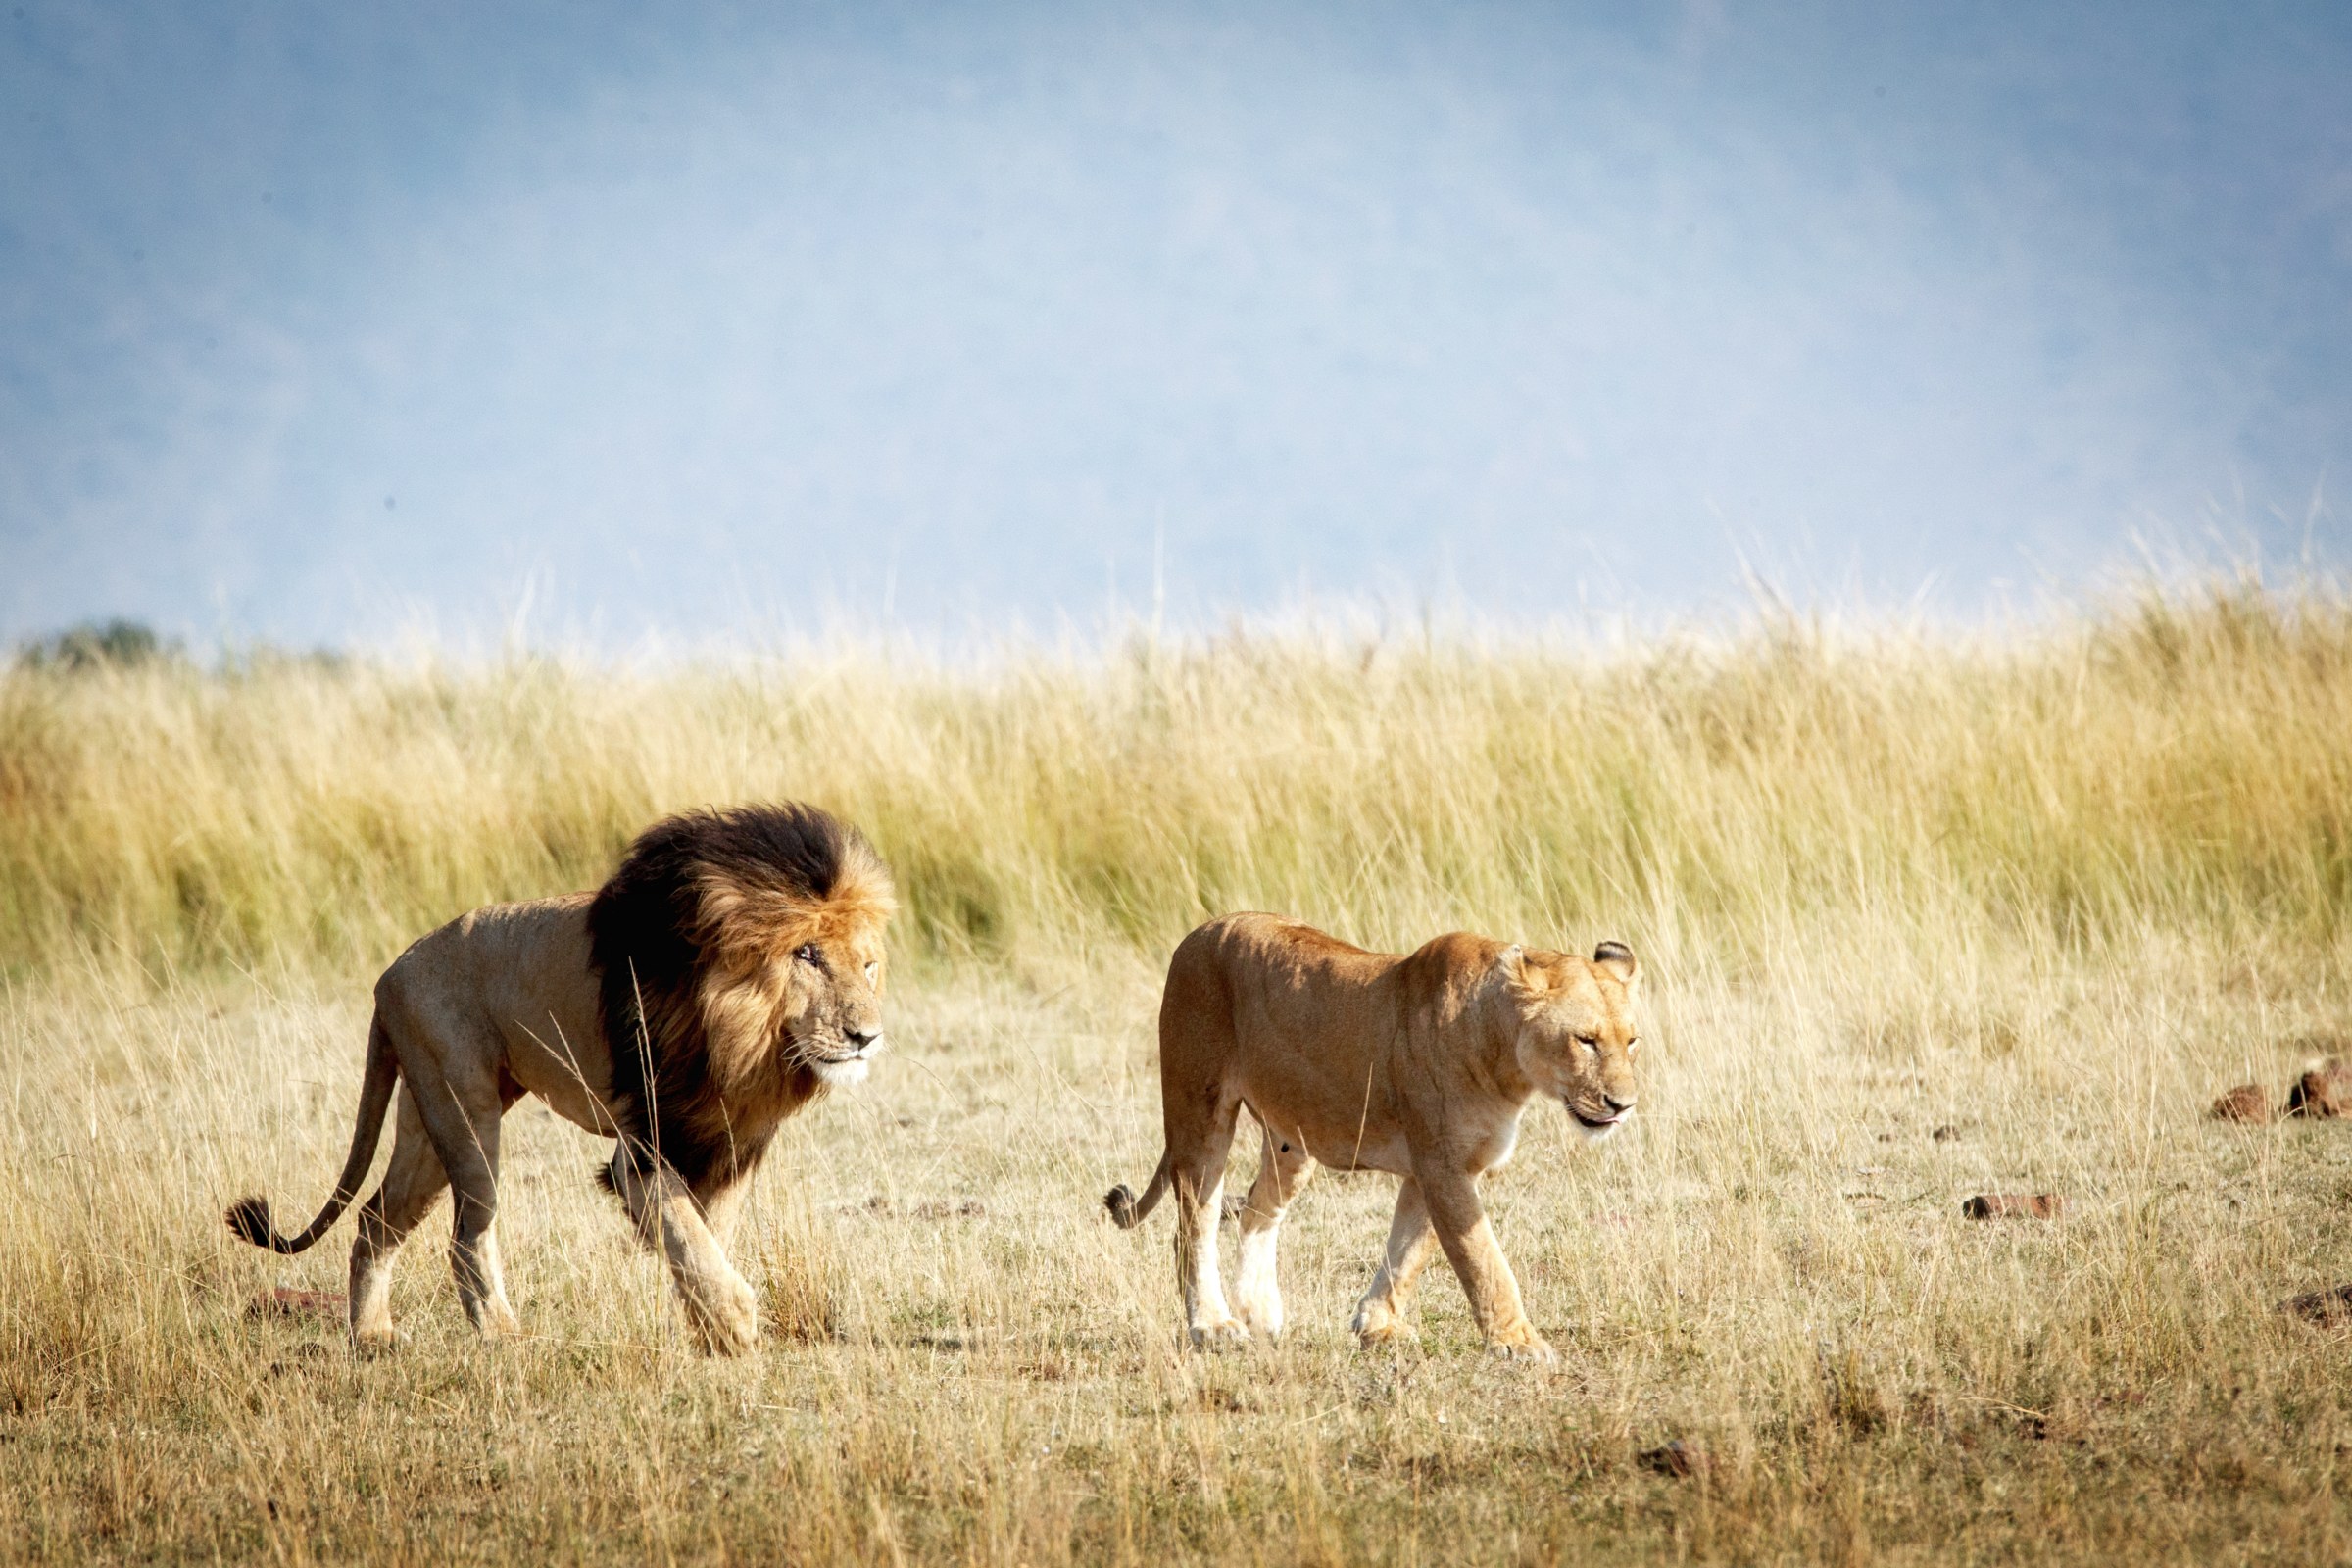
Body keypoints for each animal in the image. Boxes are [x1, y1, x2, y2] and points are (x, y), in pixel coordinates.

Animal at [225, 801, 895, 1354]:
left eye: (867, 965)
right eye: (807, 954)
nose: (867, 1037)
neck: (742, 1036)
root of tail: (388, 976)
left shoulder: (730, 1141)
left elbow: (708, 1235)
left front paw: (708, 1331)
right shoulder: (641, 1150)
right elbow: (688, 1233)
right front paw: (734, 1325)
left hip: (426, 1117)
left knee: (374, 1220)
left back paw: (372, 1336)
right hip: (466, 1112)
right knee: (466, 1235)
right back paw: (504, 1336)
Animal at [1106, 913, 1640, 1360]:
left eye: (1631, 1041)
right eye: (1585, 1040)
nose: (1623, 1106)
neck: (1505, 1056)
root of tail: (1202, 930)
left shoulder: (1439, 1169)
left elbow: (1408, 1251)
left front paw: (1377, 1325)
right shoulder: (1442, 1165)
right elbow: (1483, 1259)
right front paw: (1519, 1343)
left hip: (1293, 1138)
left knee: (1258, 1210)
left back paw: (1261, 1313)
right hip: (1200, 1108)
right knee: (1194, 1224)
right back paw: (1214, 1326)